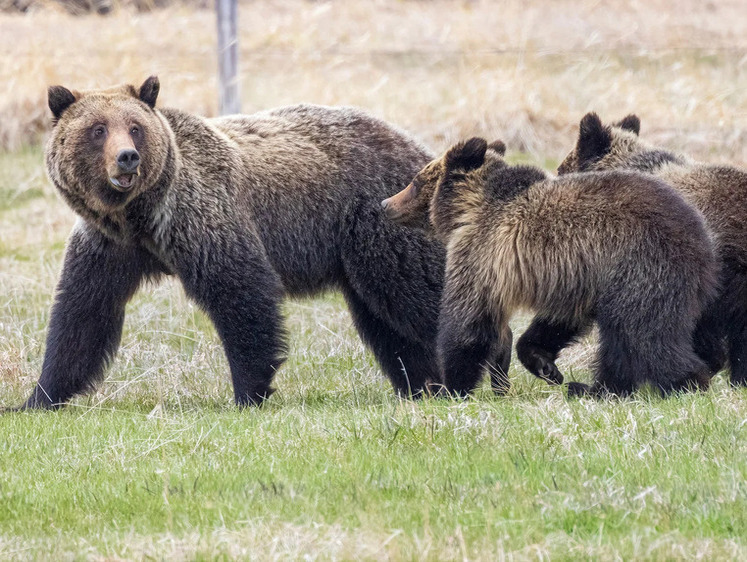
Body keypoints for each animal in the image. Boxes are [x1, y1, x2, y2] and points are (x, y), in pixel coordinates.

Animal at [16, 75, 450, 406]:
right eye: (98, 129)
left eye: (134, 127)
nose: (127, 157)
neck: (140, 217)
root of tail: (419, 148)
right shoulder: (107, 245)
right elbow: (82, 314)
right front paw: (38, 398)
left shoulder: (203, 220)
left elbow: (242, 294)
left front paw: (249, 392)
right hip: (358, 256)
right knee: (385, 322)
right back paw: (423, 386)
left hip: (378, 223)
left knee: (420, 290)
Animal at [382, 138, 720, 396]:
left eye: (416, 181)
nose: (386, 204)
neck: (471, 210)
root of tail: (702, 241)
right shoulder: (576, 276)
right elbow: (558, 320)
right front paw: (544, 364)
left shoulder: (481, 253)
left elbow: (468, 324)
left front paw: (450, 387)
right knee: (621, 339)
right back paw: (598, 388)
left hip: (641, 267)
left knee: (643, 332)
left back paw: (683, 381)